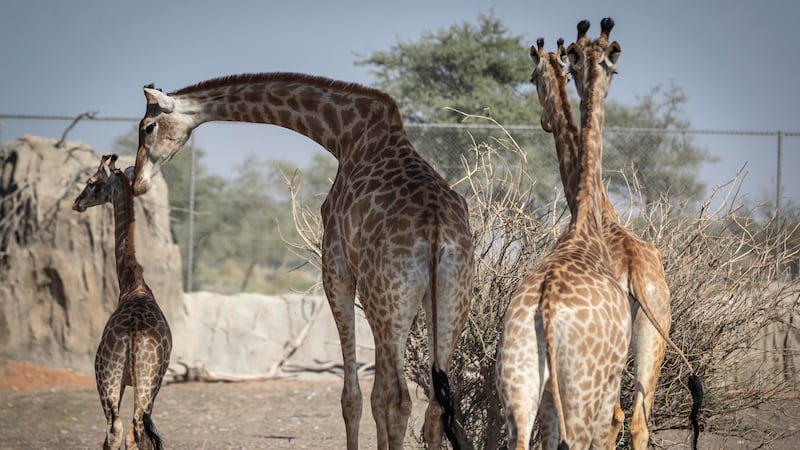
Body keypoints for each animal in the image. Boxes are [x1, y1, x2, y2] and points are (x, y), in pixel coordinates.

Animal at [128, 72, 472, 448]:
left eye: (147, 126)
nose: (137, 182)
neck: (344, 134)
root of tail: (435, 228)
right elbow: (376, 396)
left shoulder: (337, 269)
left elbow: (353, 397)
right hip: (449, 299)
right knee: (434, 405)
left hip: (388, 296)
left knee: (400, 399)